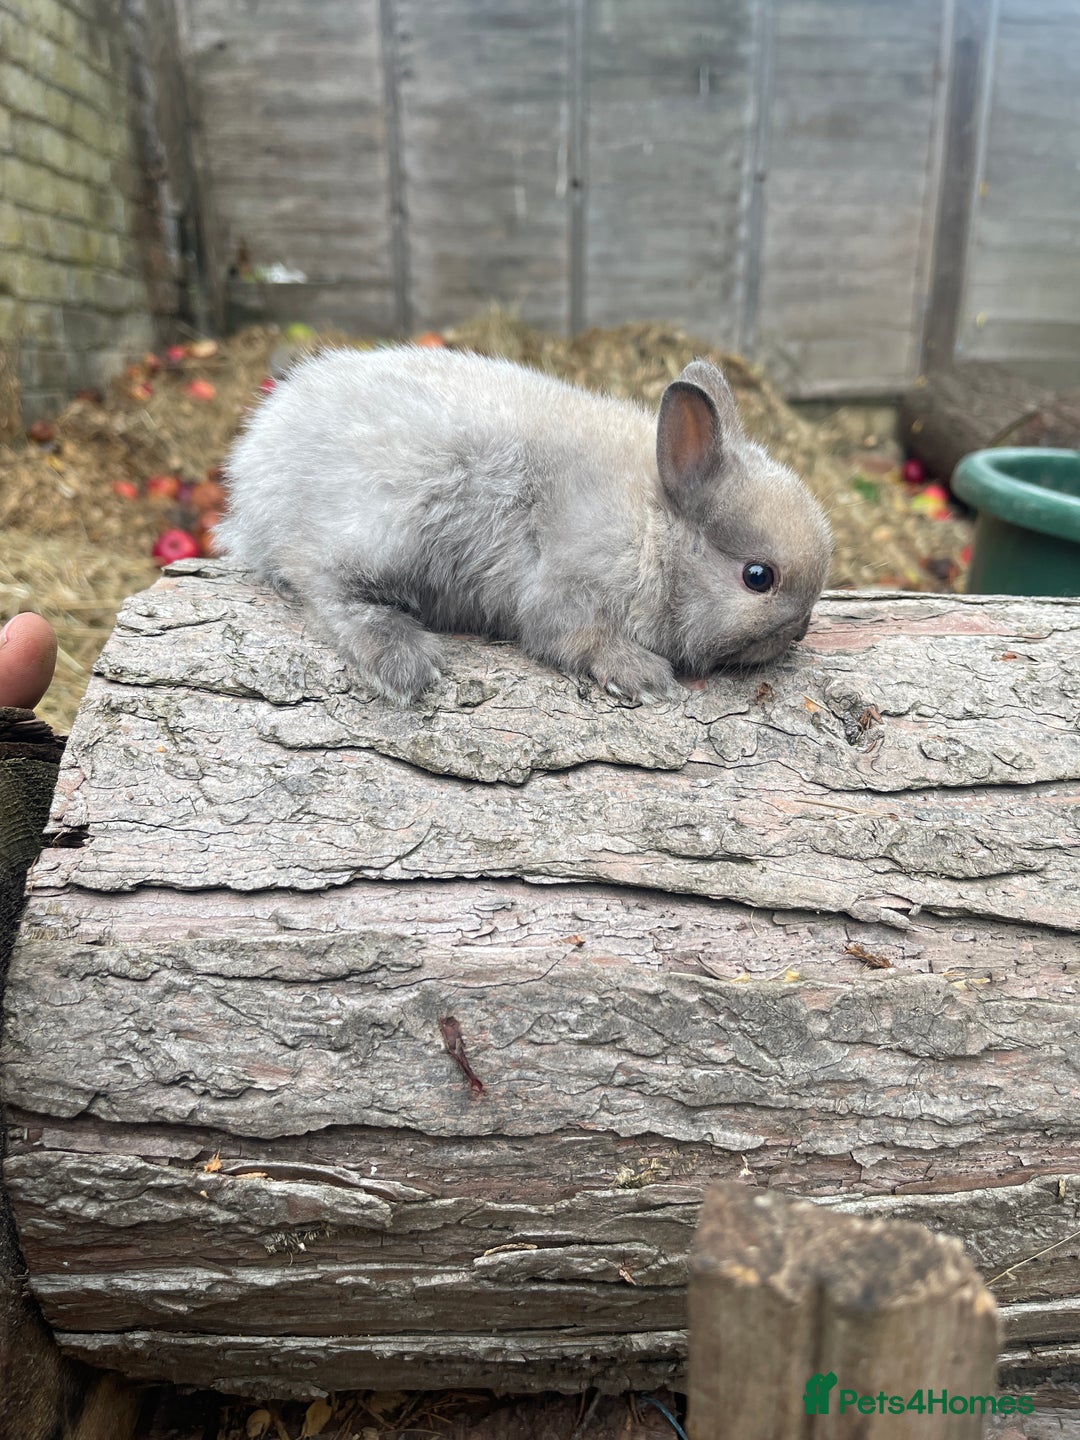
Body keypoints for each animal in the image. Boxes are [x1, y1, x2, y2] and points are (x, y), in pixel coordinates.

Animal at [218, 346, 833, 704]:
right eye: (758, 577)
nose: (802, 631)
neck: (652, 530)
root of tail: (254, 468)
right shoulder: (564, 590)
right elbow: (574, 637)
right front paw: (643, 675)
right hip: (381, 526)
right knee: (320, 584)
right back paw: (405, 661)